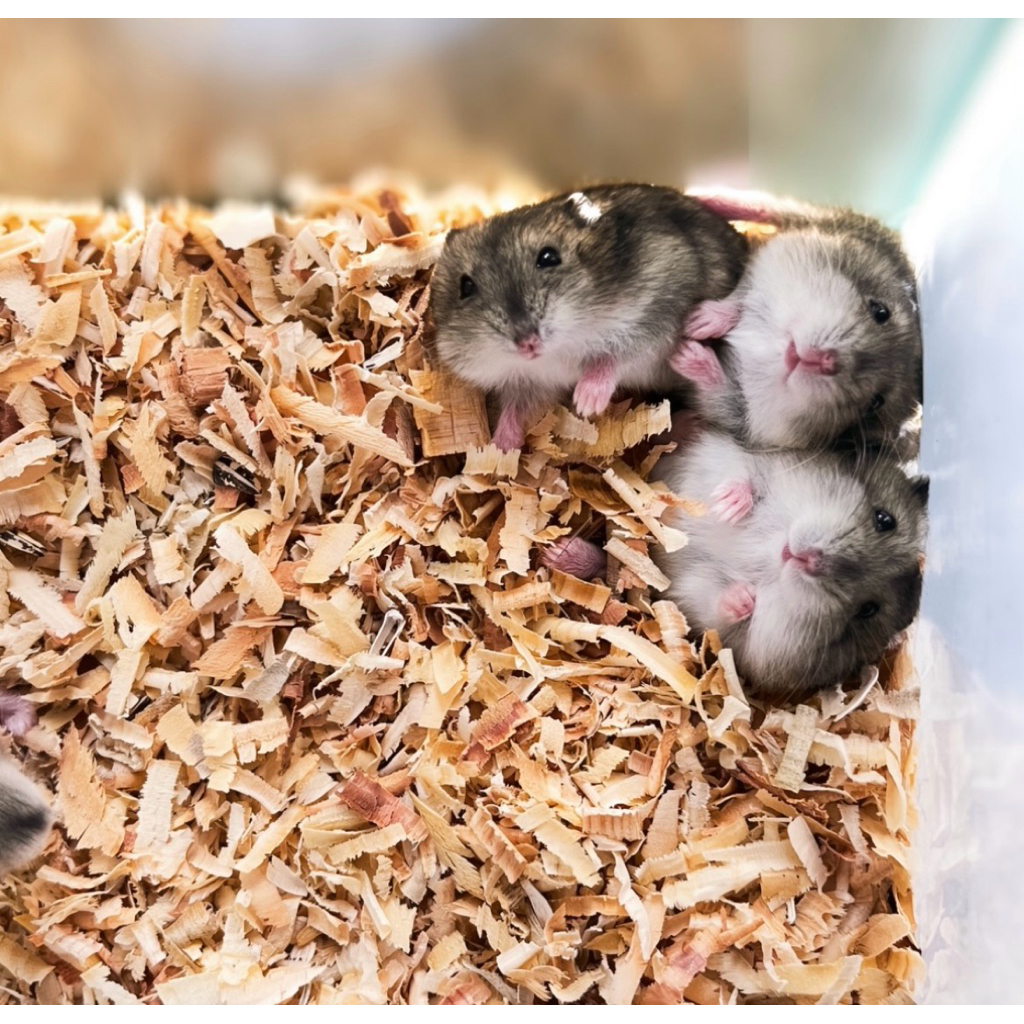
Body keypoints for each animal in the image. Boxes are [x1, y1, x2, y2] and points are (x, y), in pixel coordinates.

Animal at [428, 183, 748, 451]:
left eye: (549, 257)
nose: (528, 344)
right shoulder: (531, 382)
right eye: (466, 287)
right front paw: (500, 450)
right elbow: (516, 410)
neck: (562, 349)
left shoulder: (657, 314)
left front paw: (586, 403)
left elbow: (613, 356)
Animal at [670, 190, 922, 452]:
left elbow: (713, 384)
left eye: (875, 403)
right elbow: (736, 300)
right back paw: (706, 194)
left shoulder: (734, 413)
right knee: (775, 208)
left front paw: (683, 351)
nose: (825, 362)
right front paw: (697, 322)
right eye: (880, 311)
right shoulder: (763, 265)